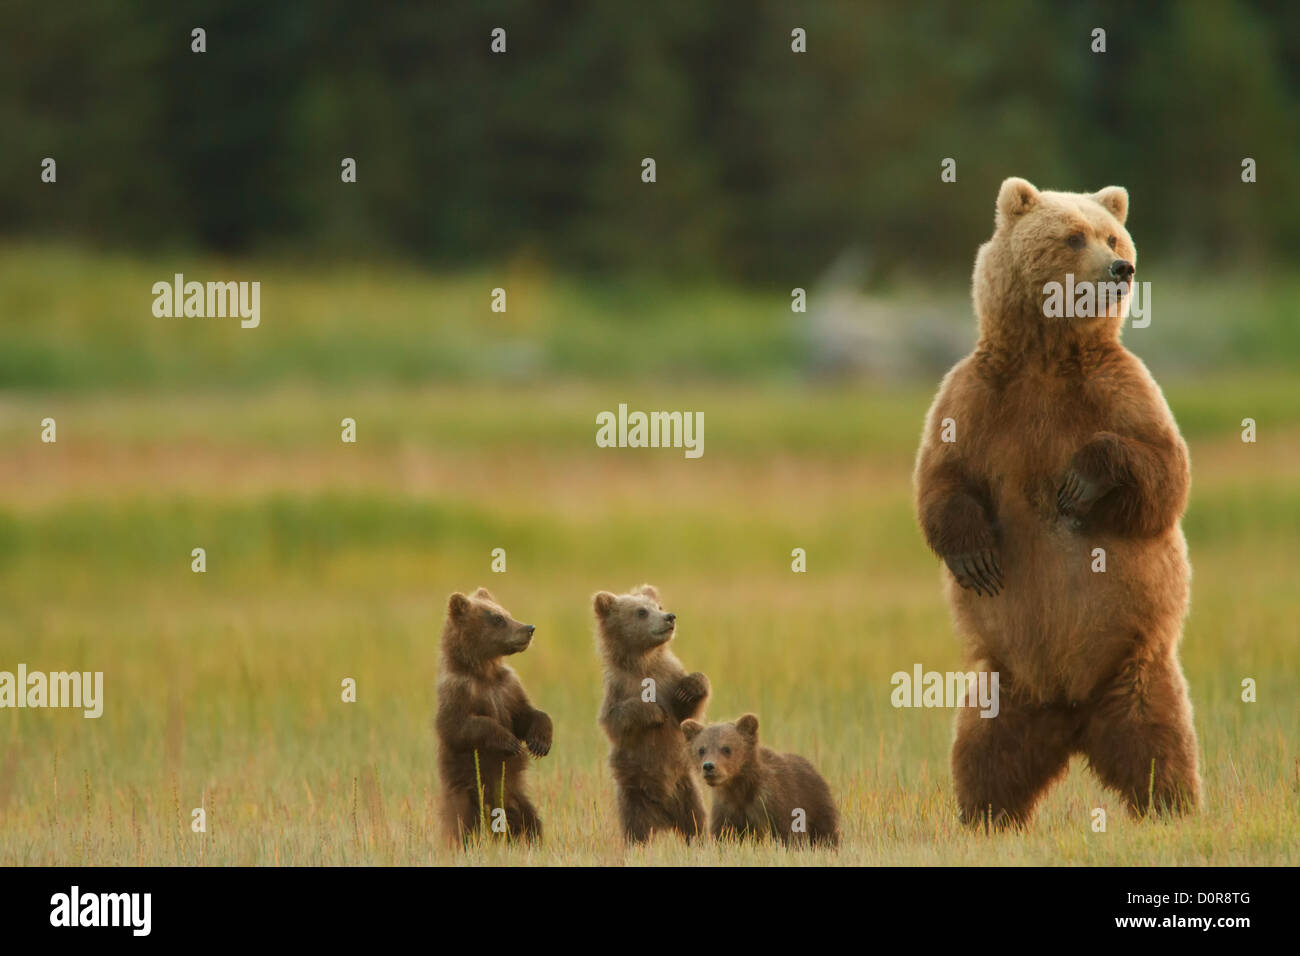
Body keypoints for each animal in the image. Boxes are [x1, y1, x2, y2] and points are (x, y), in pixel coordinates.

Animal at [434, 590, 551, 842]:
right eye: (498, 619)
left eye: (506, 612)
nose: (529, 628)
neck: (485, 672)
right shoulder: (459, 692)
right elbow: (462, 727)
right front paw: (509, 742)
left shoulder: (507, 688)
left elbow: (527, 714)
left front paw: (540, 743)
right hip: (466, 798)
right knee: (462, 829)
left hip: (517, 799)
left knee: (531, 824)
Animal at [592, 582, 707, 842]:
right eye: (641, 611)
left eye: (659, 606)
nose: (669, 617)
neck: (644, 662)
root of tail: (664, 820)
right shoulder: (618, 688)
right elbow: (615, 721)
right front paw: (653, 712)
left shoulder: (668, 677)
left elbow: (687, 715)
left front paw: (691, 687)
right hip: (633, 797)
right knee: (636, 830)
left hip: (687, 788)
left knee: (696, 821)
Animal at [681, 712, 842, 848]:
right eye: (701, 749)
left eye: (726, 748)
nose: (709, 766)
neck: (740, 788)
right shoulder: (726, 810)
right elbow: (724, 835)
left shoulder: (776, 803)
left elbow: (789, 834)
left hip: (817, 804)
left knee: (825, 832)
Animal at [915, 179, 1196, 832]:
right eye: (1073, 236)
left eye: (1113, 236)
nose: (1121, 269)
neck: (1045, 354)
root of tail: (1071, 710)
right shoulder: (976, 393)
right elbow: (941, 480)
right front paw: (976, 557)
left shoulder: (1120, 387)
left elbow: (1164, 472)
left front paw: (1076, 486)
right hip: (1005, 683)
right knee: (984, 752)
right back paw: (984, 816)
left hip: (1136, 666)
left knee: (1160, 746)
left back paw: (1174, 807)